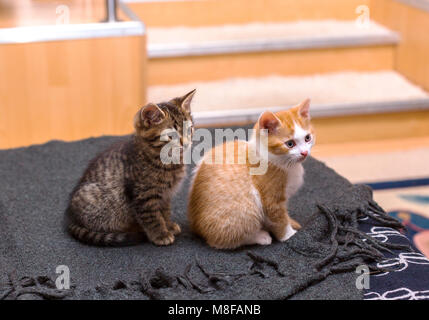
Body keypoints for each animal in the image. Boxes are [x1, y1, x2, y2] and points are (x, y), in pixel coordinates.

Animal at [65, 91, 196, 246]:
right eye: (171, 136)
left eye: (189, 130)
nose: (187, 144)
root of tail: (72, 219)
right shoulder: (143, 196)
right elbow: (152, 218)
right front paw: (161, 234)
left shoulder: (165, 195)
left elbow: (164, 212)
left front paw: (168, 225)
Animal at [187, 99, 314, 249]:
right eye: (290, 144)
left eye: (307, 138)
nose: (304, 153)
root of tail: (196, 226)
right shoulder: (271, 200)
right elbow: (279, 219)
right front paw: (289, 235)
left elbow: (282, 216)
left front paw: (291, 222)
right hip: (247, 208)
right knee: (222, 239)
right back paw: (260, 236)